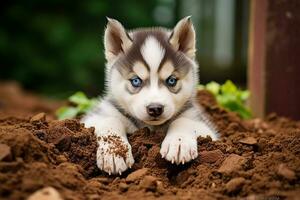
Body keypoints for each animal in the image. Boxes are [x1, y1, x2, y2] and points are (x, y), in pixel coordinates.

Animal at [82, 16, 218, 174]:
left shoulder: (206, 129)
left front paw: (179, 143)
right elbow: (110, 120)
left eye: (171, 80)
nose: (155, 108)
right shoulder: (93, 119)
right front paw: (115, 152)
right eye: (136, 81)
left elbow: (183, 121)